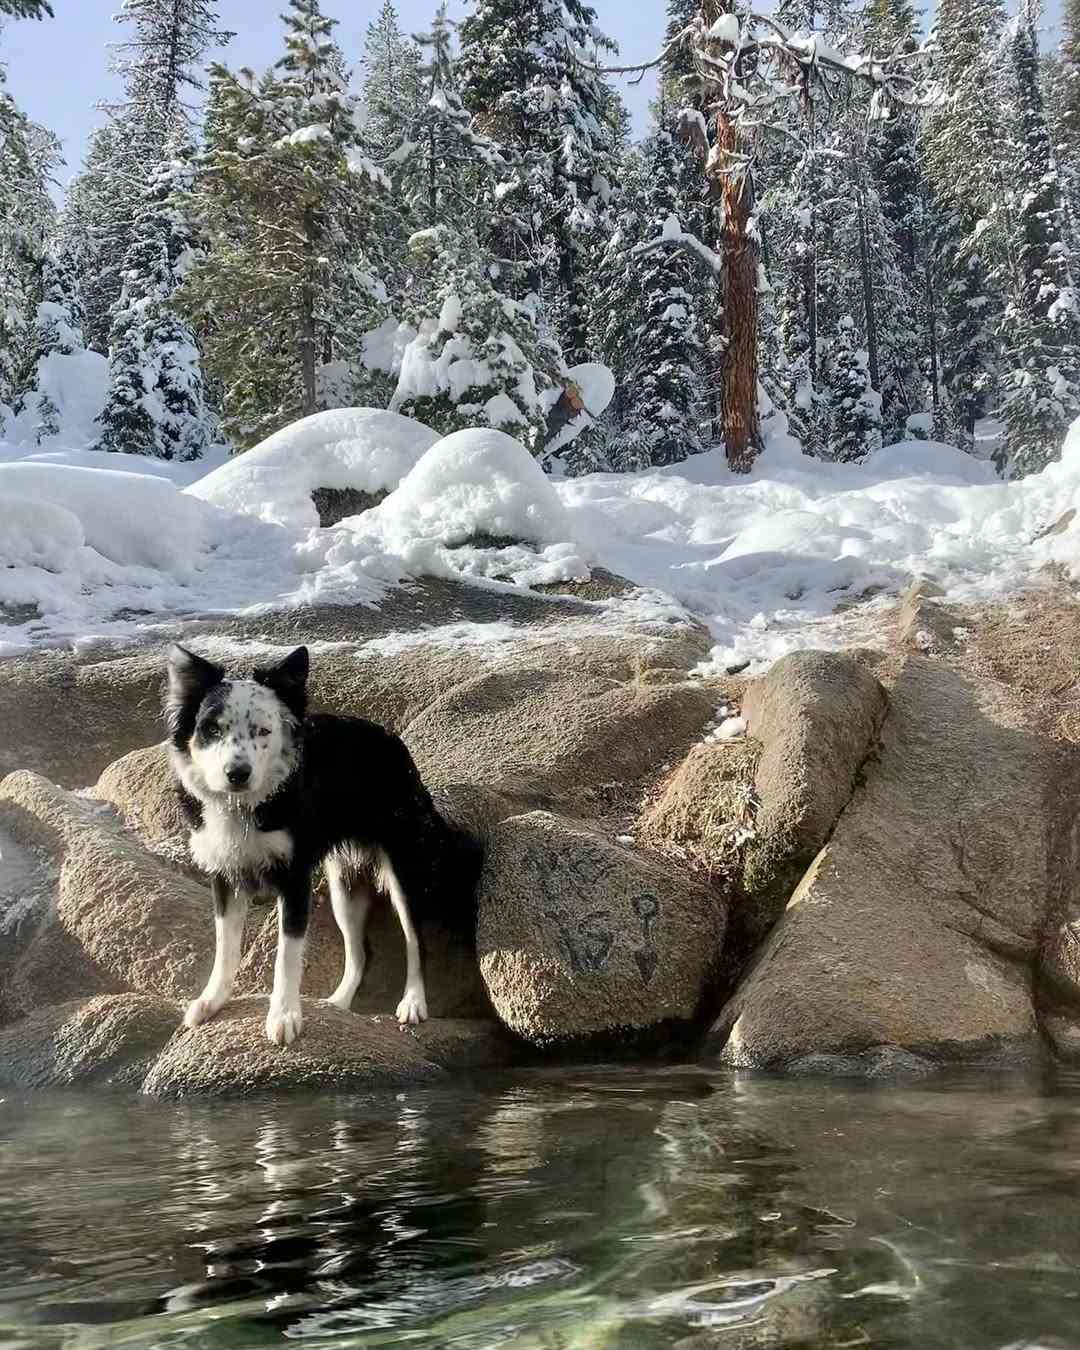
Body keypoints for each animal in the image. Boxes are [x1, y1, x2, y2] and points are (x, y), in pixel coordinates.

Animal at [163, 639, 480, 1042]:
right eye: (213, 730)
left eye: (263, 730)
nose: (237, 773)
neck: (246, 805)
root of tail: (392, 740)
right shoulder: (225, 874)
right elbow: (225, 947)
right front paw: (212, 1001)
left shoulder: (294, 879)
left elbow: (287, 955)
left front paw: (284, 1016)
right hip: (343, 885)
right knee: (360, 953)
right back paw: (338, 1003)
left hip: (403, 872)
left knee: (415, 942)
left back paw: (412, 1002)